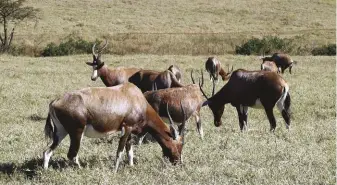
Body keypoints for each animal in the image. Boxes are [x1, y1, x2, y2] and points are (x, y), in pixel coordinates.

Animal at [43, 82, 185, 172]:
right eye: (178, 145)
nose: (178, 162)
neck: (134, 96)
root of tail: (55, 101)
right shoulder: (126, 128)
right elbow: (120, 150)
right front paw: (115, 170)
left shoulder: (129, 131)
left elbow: (129, 150)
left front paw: (131, 166)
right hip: (77, 132)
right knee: (72, 154)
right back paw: (81, 170)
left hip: (61, 132)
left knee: (47, 151)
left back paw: (45, 171)